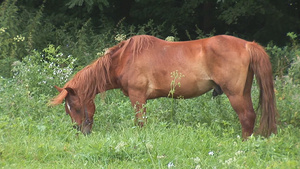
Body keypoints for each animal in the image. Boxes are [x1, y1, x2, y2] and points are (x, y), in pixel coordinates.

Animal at [50, 34, 278, 139]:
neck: (124, 58)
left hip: (235, 94)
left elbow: (140, 122)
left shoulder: (137, 97)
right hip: (244, 92)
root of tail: (247, 44)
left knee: (246, 117)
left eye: (75, 106)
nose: (81, 131)